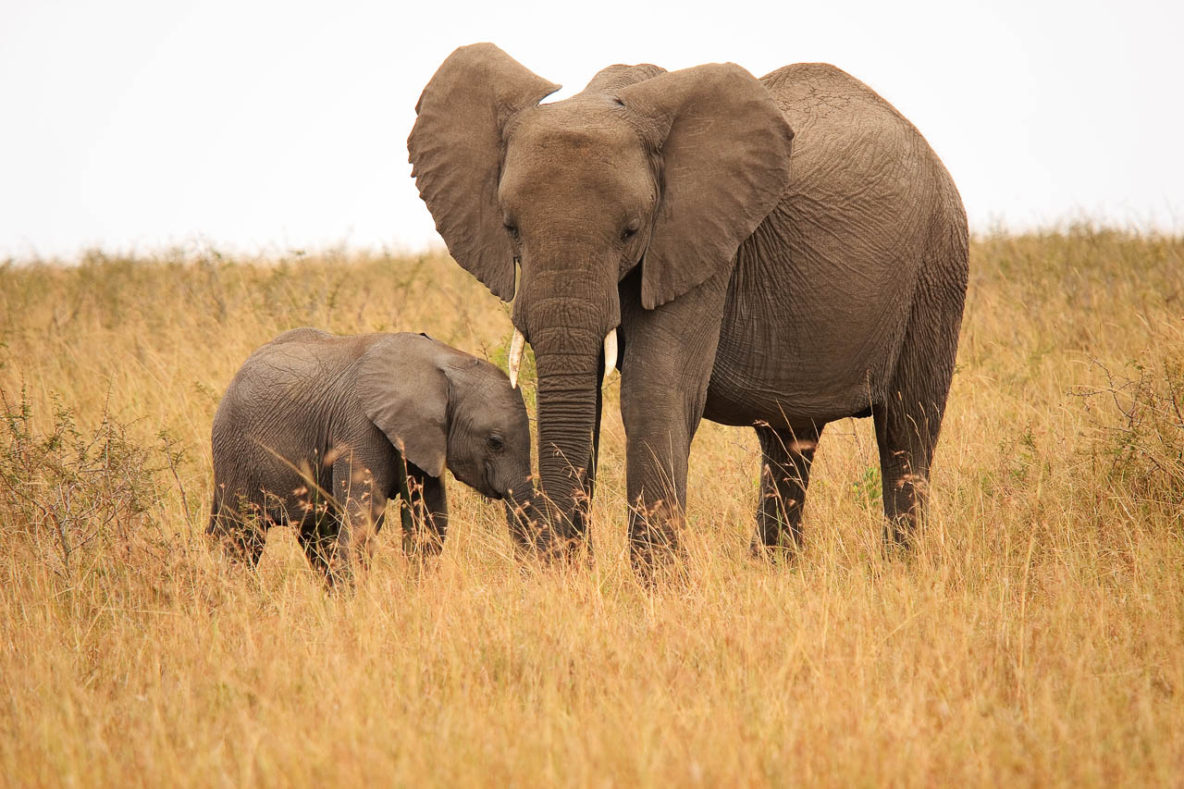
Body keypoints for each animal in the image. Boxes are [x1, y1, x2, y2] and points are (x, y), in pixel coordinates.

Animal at [207, 324, 544, 578]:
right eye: (495, 441)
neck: (445, 362)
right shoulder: (359, 425)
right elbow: (362, 518)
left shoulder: (420, 437)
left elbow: (429, 519)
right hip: (234, 453)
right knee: (241, 537)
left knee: (316, 536)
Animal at [407, 42, 961, 566]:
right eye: (510, 227)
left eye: (631, 231)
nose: (553, 556)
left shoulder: (702, 244)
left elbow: (655, 391)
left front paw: (656, 588)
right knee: (789, 441)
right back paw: (775, 571)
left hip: (939, 262)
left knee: (907, 430)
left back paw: (901, 569)